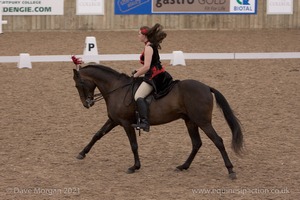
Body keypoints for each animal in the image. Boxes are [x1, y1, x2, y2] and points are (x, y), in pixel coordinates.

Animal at [73, 64, 244, 180]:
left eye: (78, 84)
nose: (86, 104)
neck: (117, 88)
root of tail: (207, 87)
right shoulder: (114, 120)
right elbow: (97, 135)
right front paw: (82, 153)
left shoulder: (126, 123)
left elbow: (133, 145)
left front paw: (134, 167)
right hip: (190, 121)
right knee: (196, 143)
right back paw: (183, 166)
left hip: (203, 122)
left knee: (218, 141)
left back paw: (230, 170)